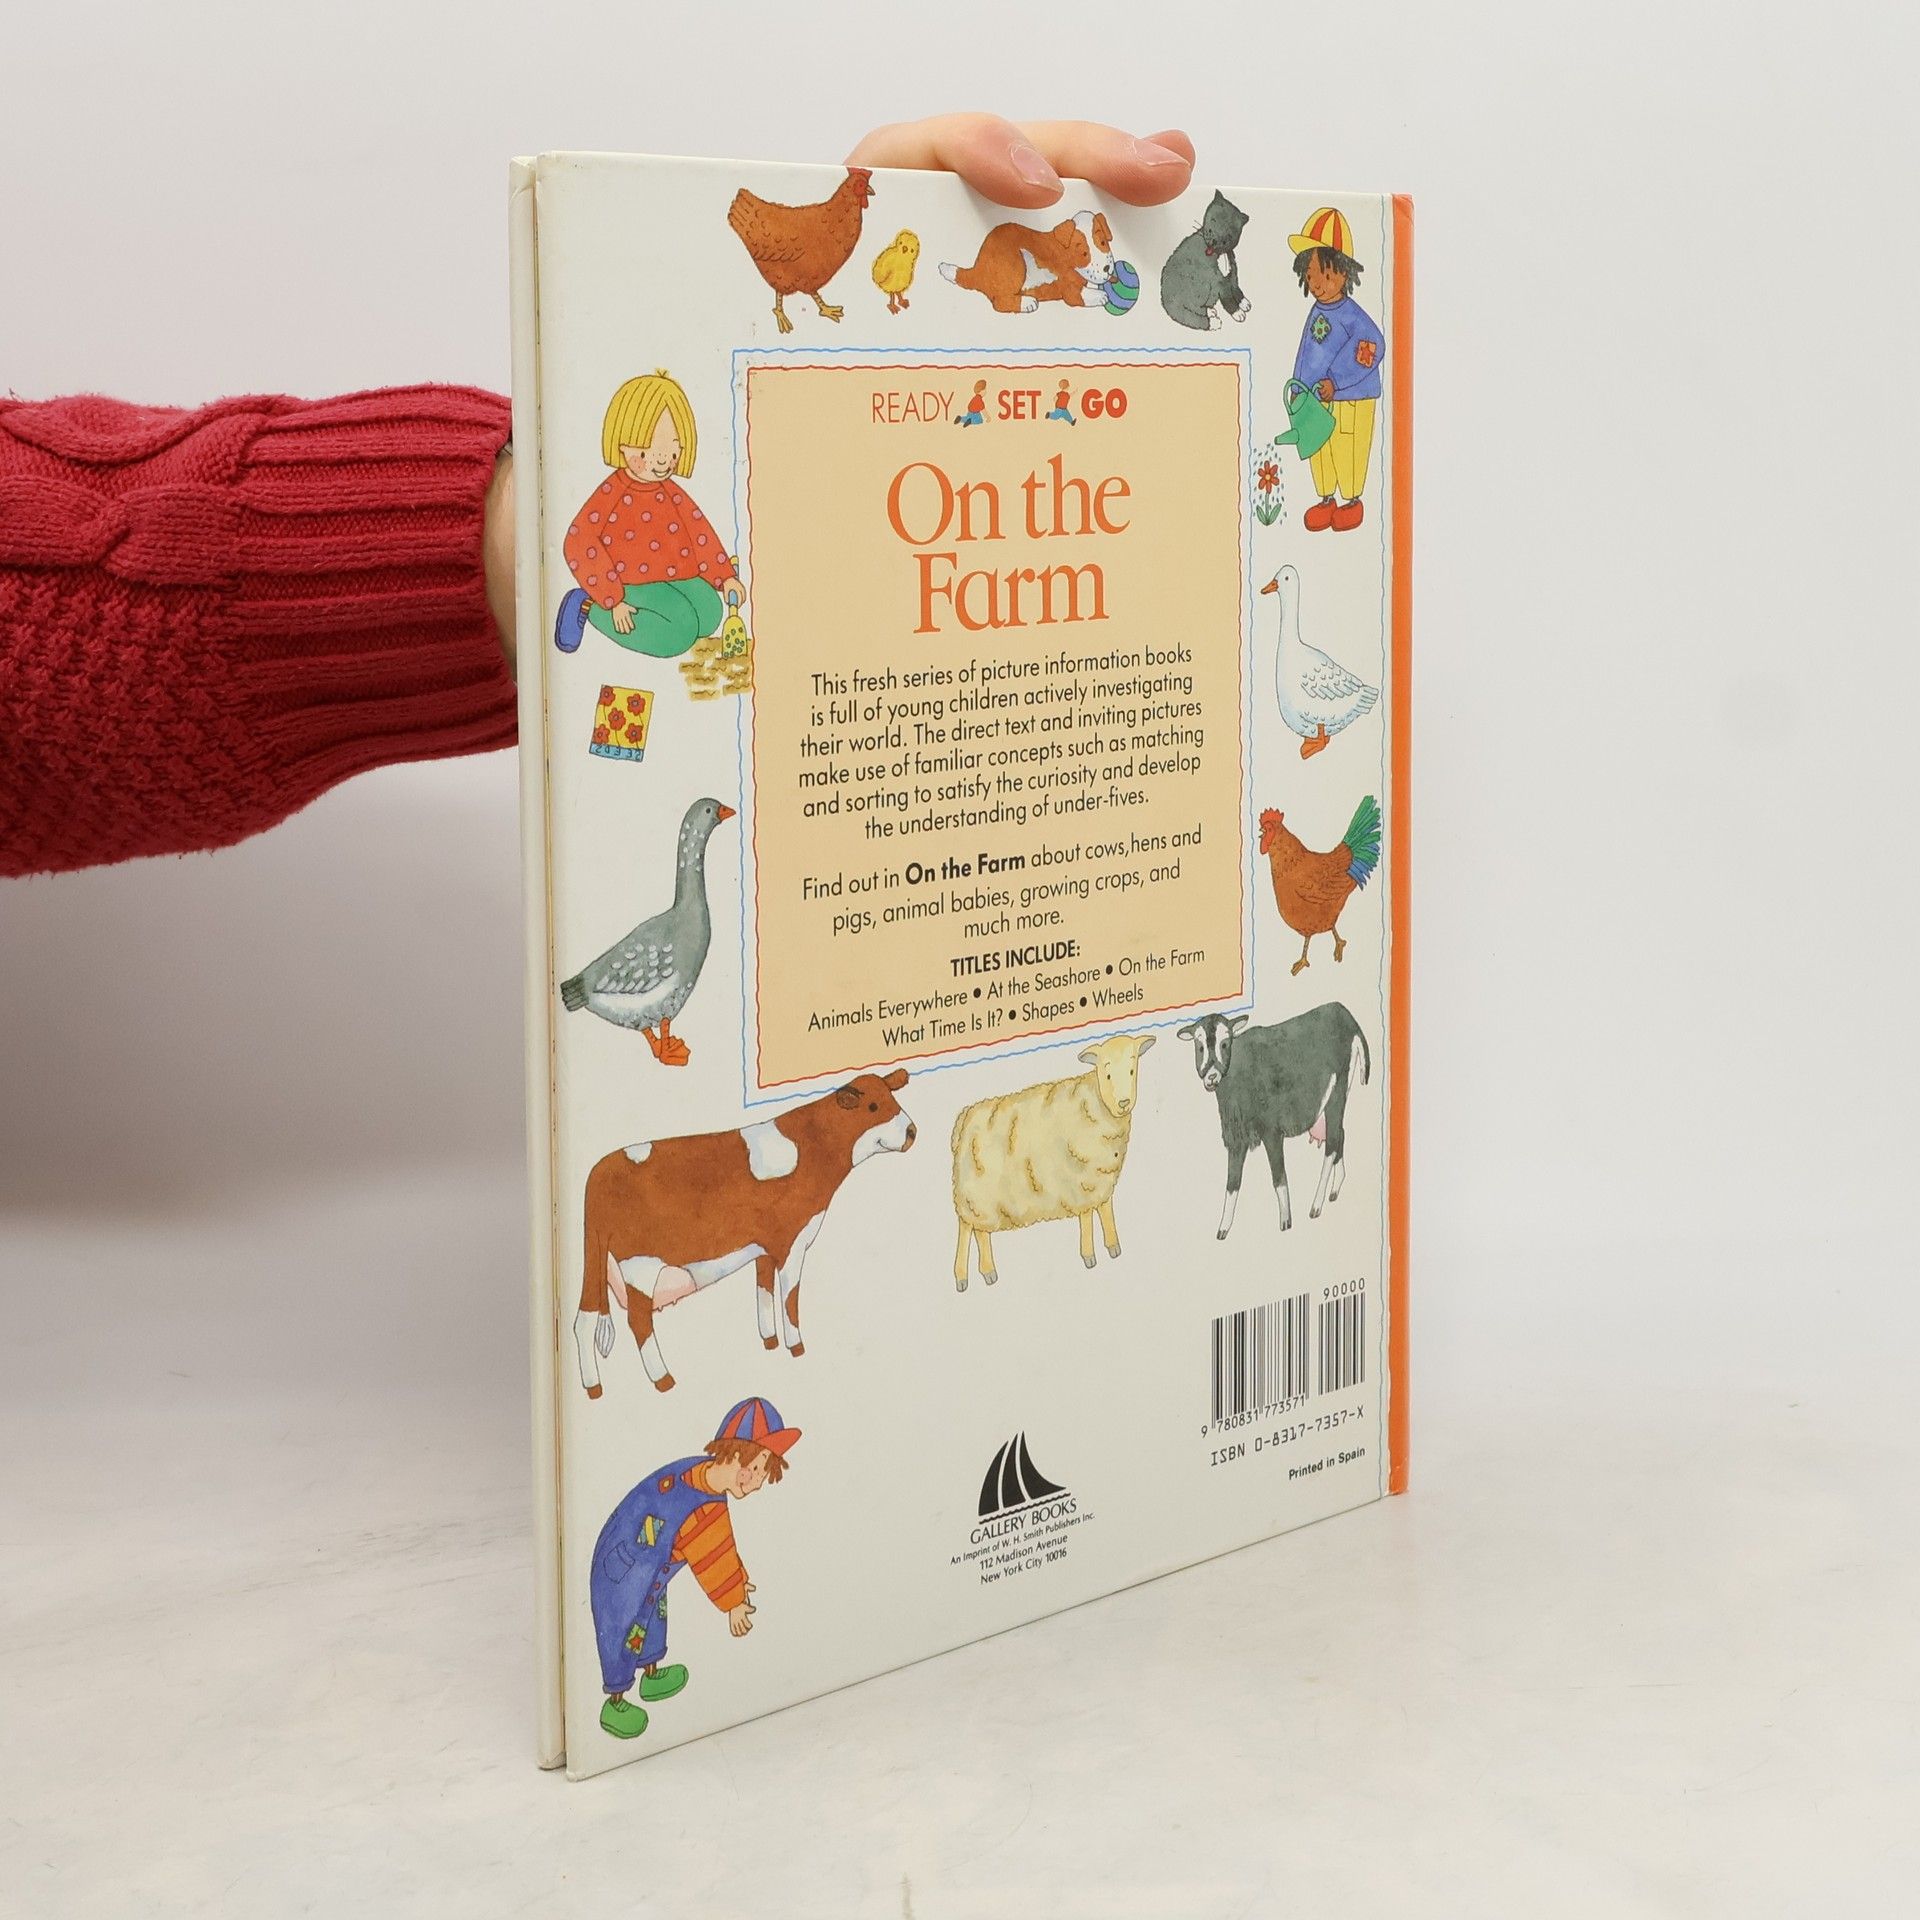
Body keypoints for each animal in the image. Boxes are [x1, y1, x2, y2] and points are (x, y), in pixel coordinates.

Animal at [574, 1069, 916, 1397]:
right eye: (873, 1106)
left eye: (892, 1097)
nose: (912, 1131)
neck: (814, 1145)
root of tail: (598, 1171)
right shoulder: (792, 1242)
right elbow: (789, 1298)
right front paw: (796, 1347)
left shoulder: (764, 1247)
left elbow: (764, 1291)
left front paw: (770, 1341)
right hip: (640, 1266)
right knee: (637, 1320)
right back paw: (663, 1380)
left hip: (598, 1264)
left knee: (584, 1320)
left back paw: (594, 1388)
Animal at [949, 1032, 1155, 1290]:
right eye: (1107, 1074)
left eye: (1132, 1070)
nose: (1124, 1103)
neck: (1094, 1100)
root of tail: (964, 1117)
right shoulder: (1081, 1184)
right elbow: (1087, 1220)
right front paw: (1089, 1256)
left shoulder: (1101, 1180)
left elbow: (1106, 1211)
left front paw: (1114, 1247)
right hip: (973, 1196)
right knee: (967, 1231)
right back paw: (966, 1277)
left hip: (980, 1201)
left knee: (979, 1233)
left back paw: (986, 1273)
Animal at [1176, 1006, 1369, 1240]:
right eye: (1200, 1046)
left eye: (1225, 1043)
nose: (1212, 1077)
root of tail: (1343, 1011)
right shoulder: (1236, 1137)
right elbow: (1232, 1182)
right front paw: (1223, 1229)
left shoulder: (1272, 1131)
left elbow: (1278, 1176)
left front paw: (1286, 1221)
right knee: (1340, 1133)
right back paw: (1335, 1188)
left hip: (1337, 1092)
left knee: (1331, 1142)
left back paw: (1316, 1206)